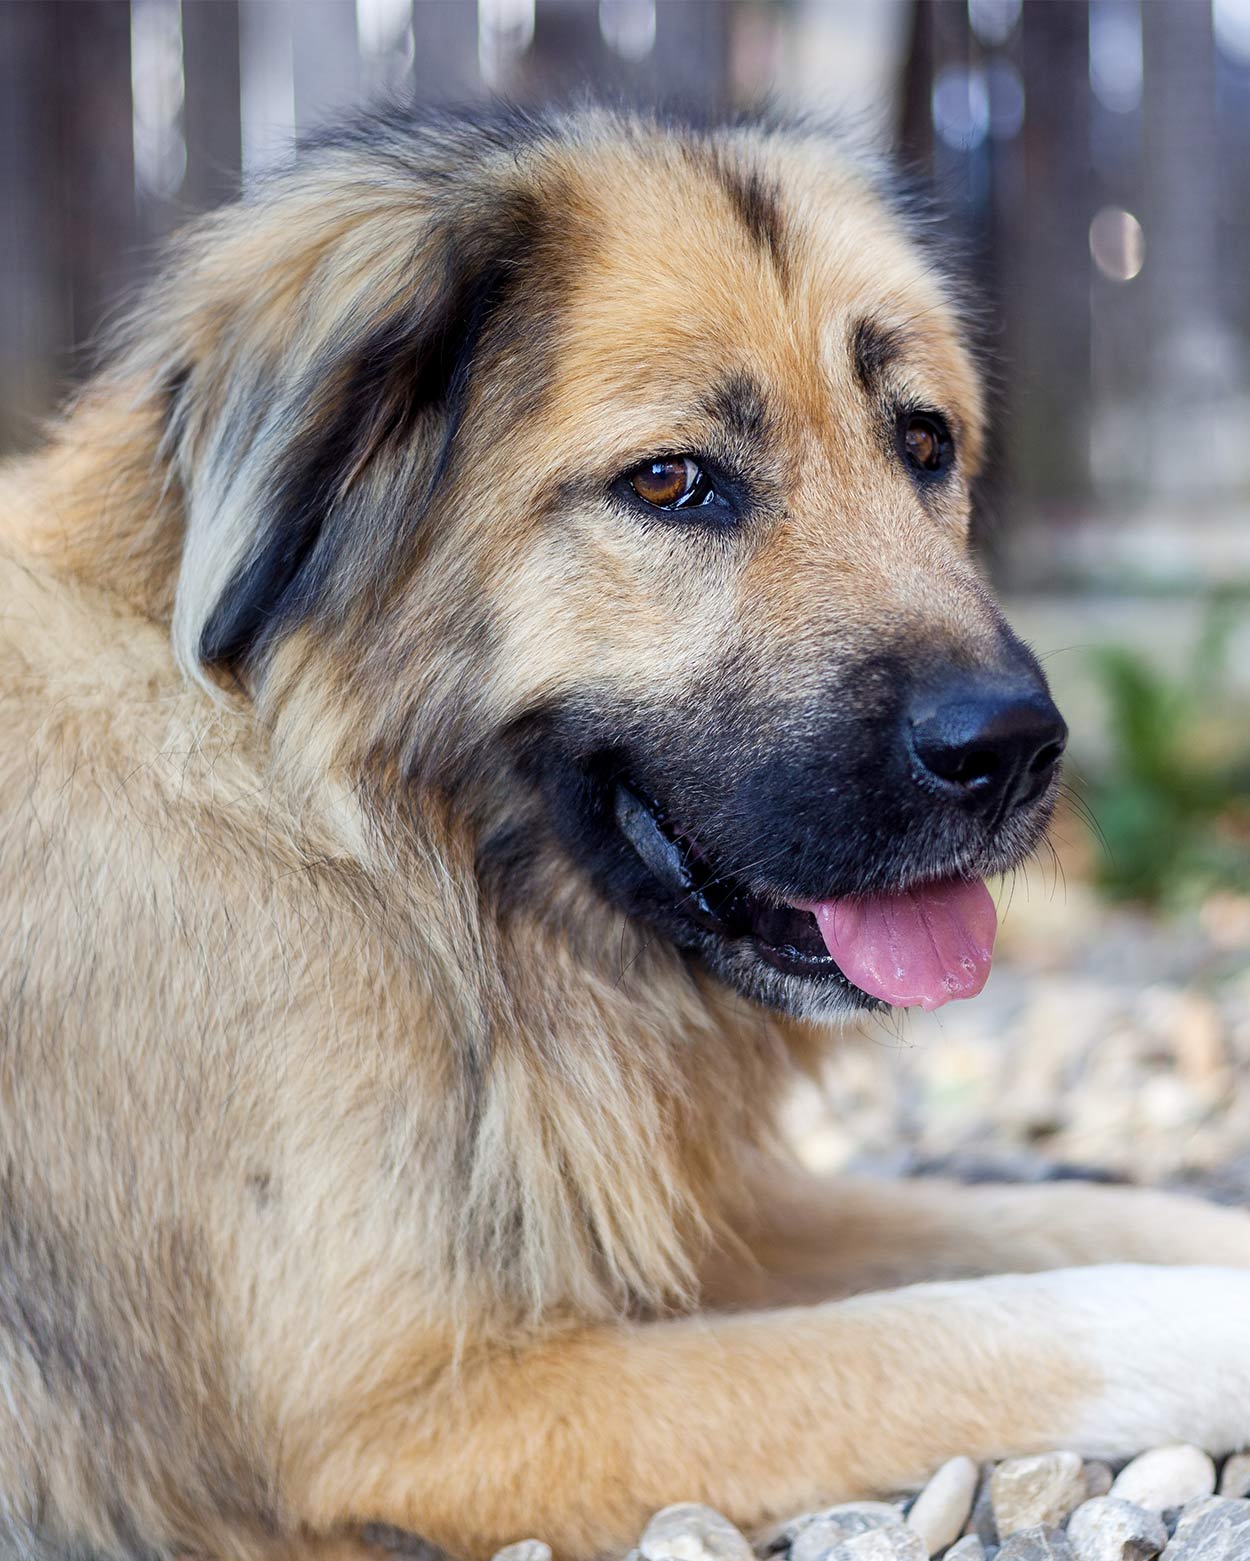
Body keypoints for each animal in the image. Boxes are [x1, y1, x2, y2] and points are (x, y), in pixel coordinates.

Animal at [2, 100, 1248, 1561]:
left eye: (923, 443)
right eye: (668, 482)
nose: (1010, 750)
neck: (373, 843)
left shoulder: (655, 1222)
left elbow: (1061, 1213)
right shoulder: (417, 1412)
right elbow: (985, 1328)